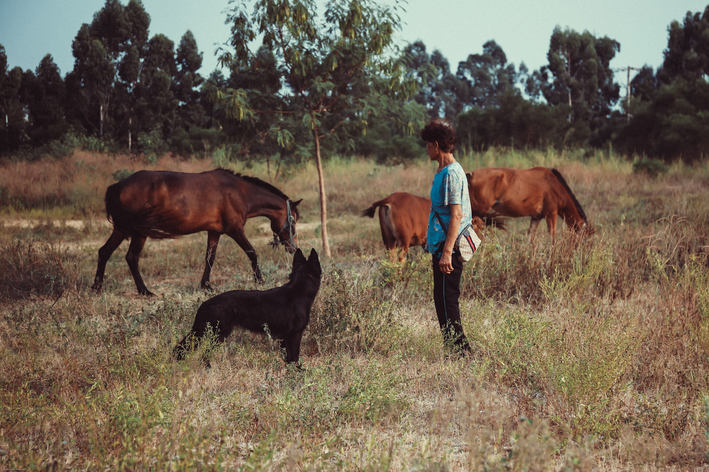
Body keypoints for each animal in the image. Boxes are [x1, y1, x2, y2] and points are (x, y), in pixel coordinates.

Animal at [90, 169, 300, 296]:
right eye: (293, 221)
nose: (293, 248)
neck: (239, 192)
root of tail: (118, 185)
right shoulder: (235, 230)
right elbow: (252, 253)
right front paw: (259, 280)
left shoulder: (214, 232)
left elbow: (210, 258)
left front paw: (206, 285)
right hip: (138, 233)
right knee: (131, 257)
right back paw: (145, 291)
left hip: (121, 229)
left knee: (104, 252)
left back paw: (97, 287)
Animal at [174, 249, 320, 366]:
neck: (299, 290)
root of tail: (204, 304)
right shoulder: (294, 335)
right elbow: (294, 357)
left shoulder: (284, 338)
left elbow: (289, 358)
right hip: (214, 334)